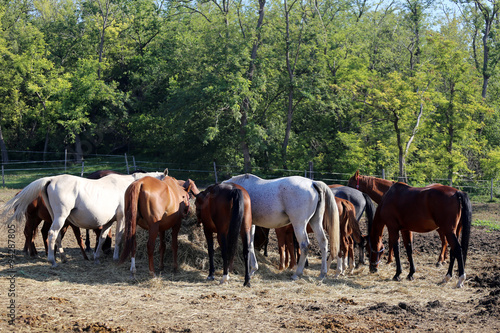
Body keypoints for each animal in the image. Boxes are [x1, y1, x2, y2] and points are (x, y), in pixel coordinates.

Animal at [2, 170, 168, 266]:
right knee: (52, 234)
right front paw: (115, 258)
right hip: (59, 218)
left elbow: (102, 238)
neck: (127, 186)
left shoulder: (108, 222)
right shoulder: (121, 218)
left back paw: (63, 257)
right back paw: (52, 260)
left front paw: (96, 257)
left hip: (57, 219)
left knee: (56, 236)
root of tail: (51, 179)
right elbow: (119, 238)